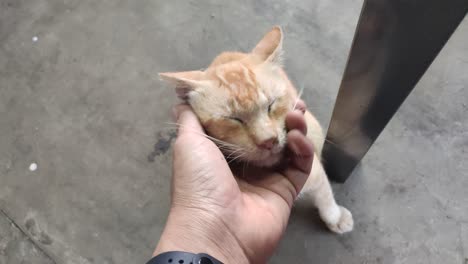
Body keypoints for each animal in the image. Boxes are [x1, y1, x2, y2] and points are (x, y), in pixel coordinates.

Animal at [159, 26, 352, 233]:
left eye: (271, 104)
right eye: (233, 119)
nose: (269, 141)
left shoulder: (315, 169)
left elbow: (325, 192)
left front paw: (335, 216)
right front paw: (335, 217)